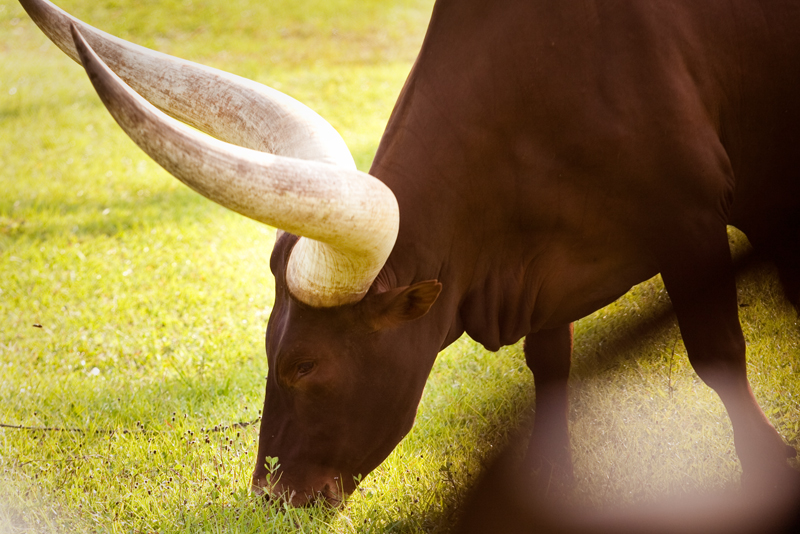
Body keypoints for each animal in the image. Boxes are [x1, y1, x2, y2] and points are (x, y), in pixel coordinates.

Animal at [21, 0, 800, 510]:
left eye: (304, 364)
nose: (273, 496)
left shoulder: (696, 216)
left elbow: (717, 351)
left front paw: (768, 465)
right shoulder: (543, 262)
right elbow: (549, 361)